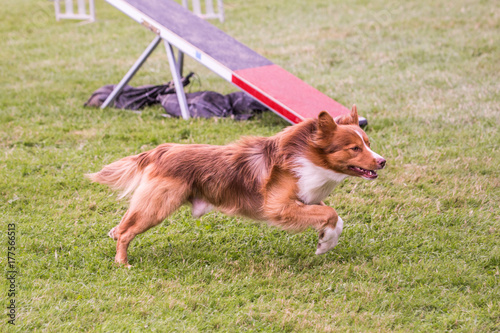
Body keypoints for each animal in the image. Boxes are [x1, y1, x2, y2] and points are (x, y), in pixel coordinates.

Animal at [88, 105, 386, 266]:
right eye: (354, 148)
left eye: (368, 143)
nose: (382, 162)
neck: (307, 156)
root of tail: (162, 150)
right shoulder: (278, 207)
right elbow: (331, 213)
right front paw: (325, 243)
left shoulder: (306, 200)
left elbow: (335, 217)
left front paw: (326, 240)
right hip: (158, 205)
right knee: (126, 232)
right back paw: (122, 263)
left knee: (121, 226)